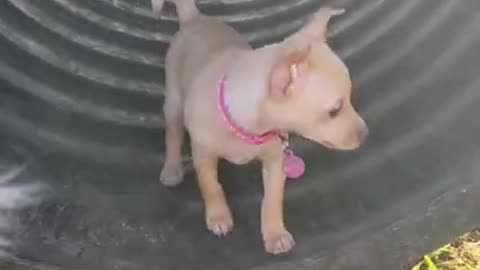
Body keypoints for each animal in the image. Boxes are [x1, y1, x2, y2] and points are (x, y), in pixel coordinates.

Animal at [154, 0, 368, 255]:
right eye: (335, 110)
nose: (365, 134)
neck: (247, 130)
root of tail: (194, 18)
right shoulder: (203, 155)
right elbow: (210, 185)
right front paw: (218, 217)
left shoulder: (276, 163)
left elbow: (272, 200)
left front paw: (275, 234)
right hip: (174, 102)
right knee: (173, 133)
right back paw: (172, 168)